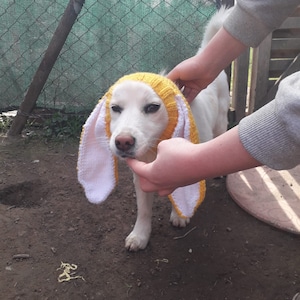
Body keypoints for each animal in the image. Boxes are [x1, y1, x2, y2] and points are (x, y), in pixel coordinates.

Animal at [106, 7, 231, 251]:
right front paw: (140, 235)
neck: (157, 146)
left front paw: (181, 215)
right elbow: (144, 211)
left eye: (152, 107)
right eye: (115, 108)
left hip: (221, 123)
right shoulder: (141, 177)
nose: (123, 142)